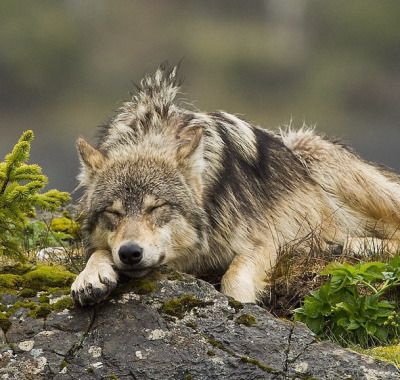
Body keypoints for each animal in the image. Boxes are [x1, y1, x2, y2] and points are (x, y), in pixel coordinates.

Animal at [70, 65, 400, 306]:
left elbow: (234, 278)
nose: (130, 253)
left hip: (314, 153)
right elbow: (97, 251)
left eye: (157, 207)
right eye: (112, 213)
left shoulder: (265, 241)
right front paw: (90, 276)